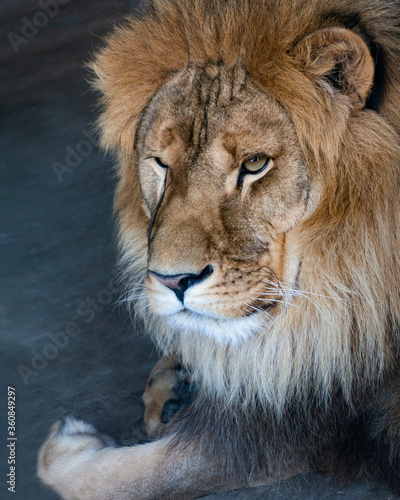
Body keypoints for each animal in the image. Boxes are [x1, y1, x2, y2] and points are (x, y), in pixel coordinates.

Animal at [36, 0, 400, 498]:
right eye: (161, 163)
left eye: (255, 163)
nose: (173, 280)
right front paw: (176, 376)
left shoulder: (290, 421)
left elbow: (127, 475)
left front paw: (67, 444)